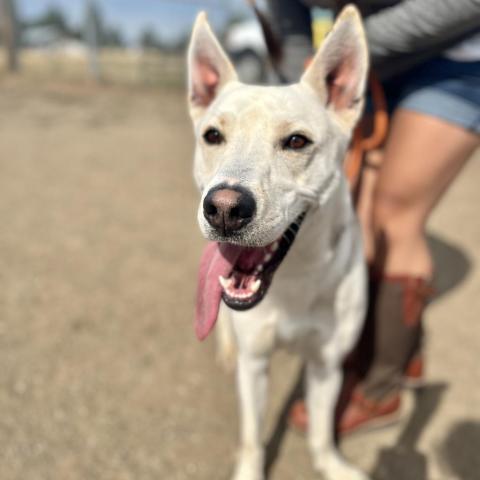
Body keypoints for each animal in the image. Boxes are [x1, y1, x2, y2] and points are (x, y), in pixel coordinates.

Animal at [189, 7, 370, 480]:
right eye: (212, 136)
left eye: (296, 141)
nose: (224, 208)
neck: (295, 276)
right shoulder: (255, 364)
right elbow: (253, 439)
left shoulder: (327, 365)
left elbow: (322, 434)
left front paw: (334, 465)